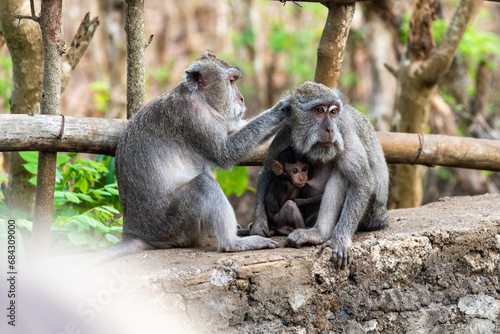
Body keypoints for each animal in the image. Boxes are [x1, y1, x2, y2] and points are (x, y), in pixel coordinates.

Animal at [250, 81, 390, 268]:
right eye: (319, 110)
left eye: (333, 111)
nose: (330, 129)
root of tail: (383, 217)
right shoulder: (287, 128)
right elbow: (268, 168)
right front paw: (259, 225)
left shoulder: (344, 132)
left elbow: (361, 182)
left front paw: (340, 241)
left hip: (371, 214)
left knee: (341, 171)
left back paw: (319, 233)